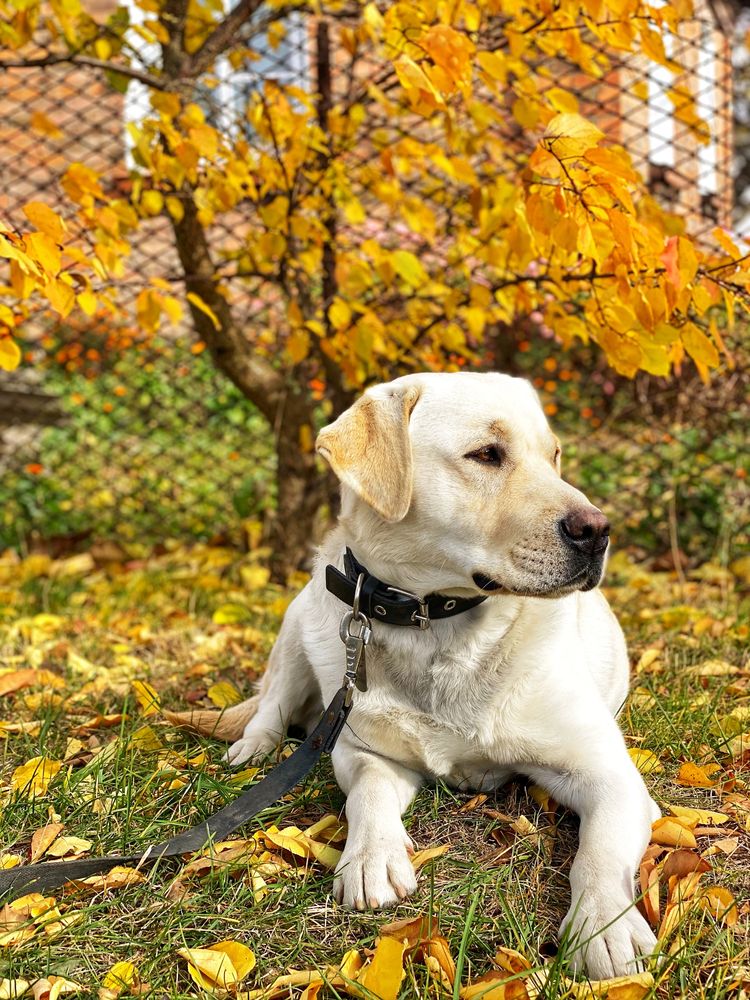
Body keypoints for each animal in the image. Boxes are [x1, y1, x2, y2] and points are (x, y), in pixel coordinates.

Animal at [192, 374, 656, 976]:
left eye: (553, 456)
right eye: (487, 454)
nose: (599, 531)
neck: (436, 624)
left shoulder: (608, 774)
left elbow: (597, 853)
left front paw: (605, 925)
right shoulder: (365, 753)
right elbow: (366, 795)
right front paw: (371, 858)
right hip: (301, 621)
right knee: (272, 702)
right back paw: (253, 747)